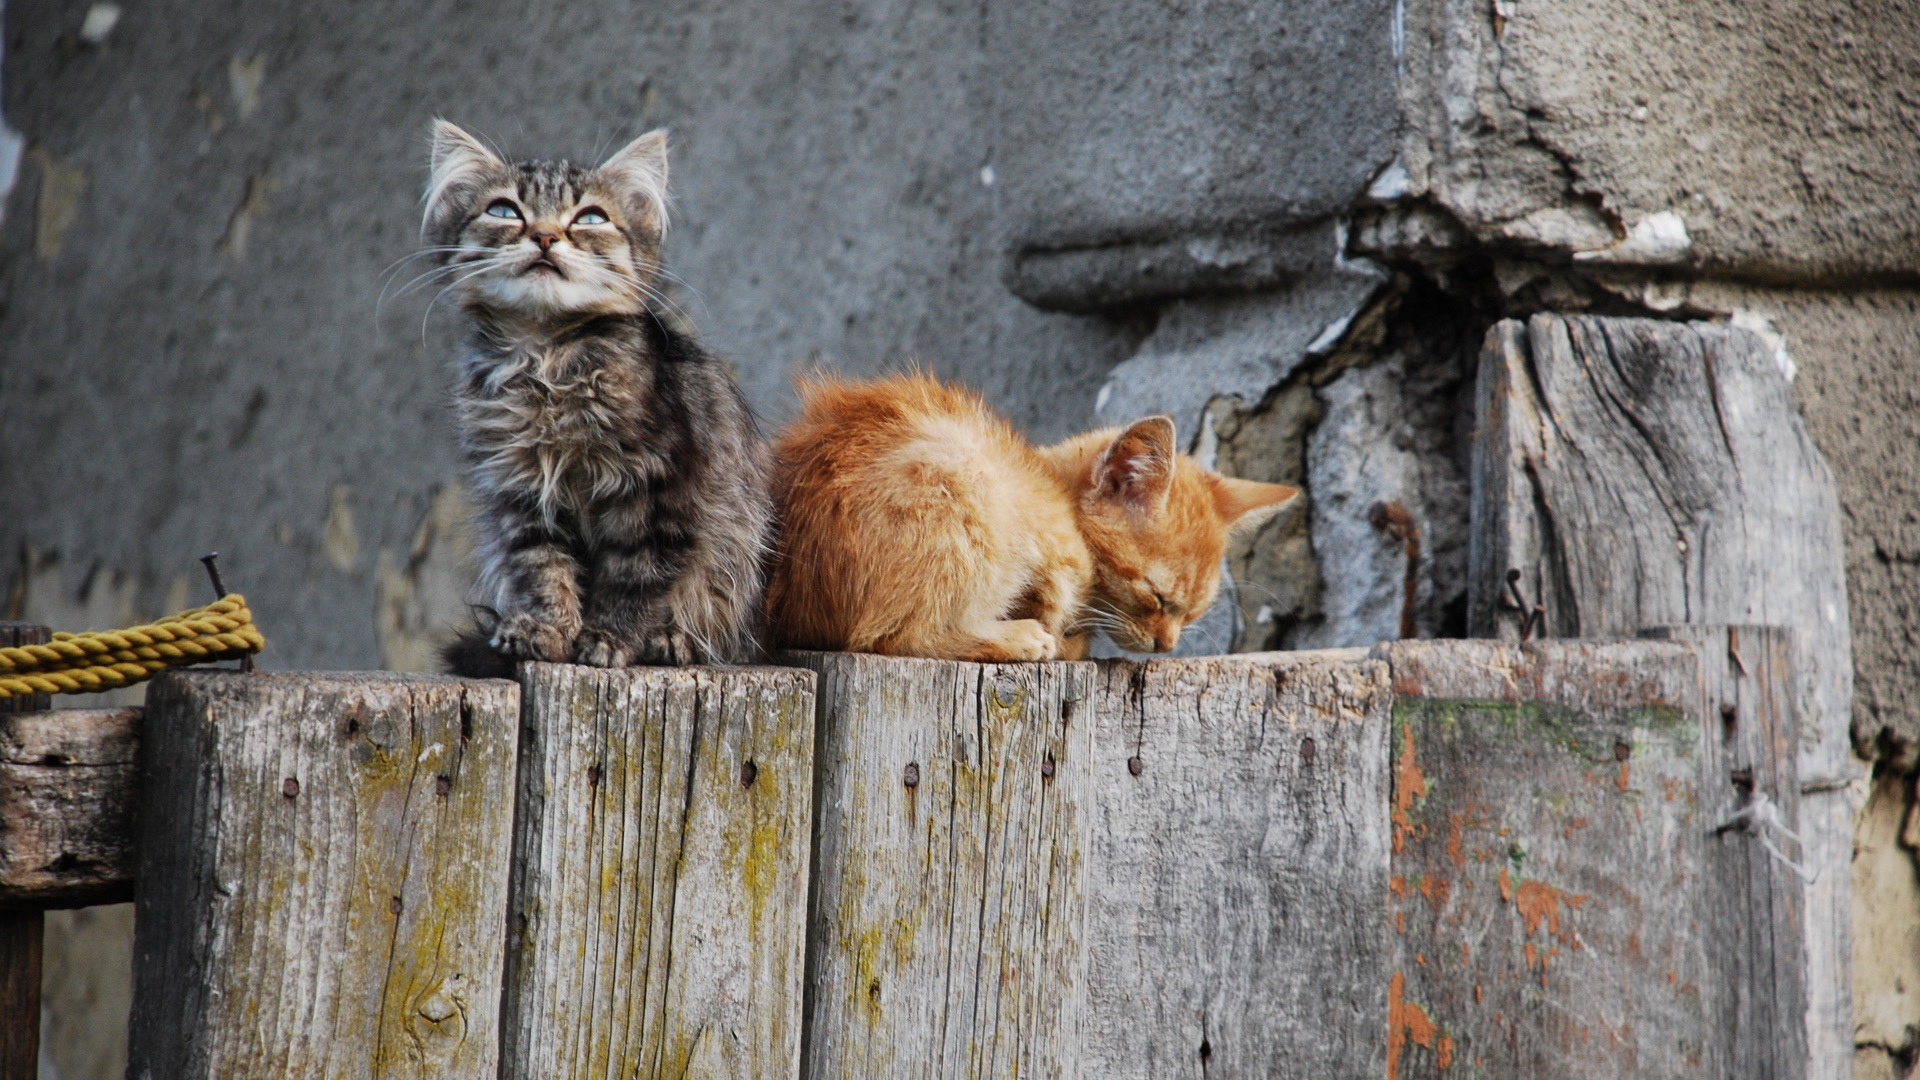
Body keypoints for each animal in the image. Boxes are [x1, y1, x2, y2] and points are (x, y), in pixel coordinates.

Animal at [428, 122, 771, 668]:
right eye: (504, 211)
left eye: (590, 218)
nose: (545, 235)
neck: (546, 356)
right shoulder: (522, 495)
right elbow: (545, 569)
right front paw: (549, 632)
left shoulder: (659, 489)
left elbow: (635, 577)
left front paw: (609, 639)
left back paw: (670, 640)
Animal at [764, 372, 1290, 657]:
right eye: (1156, 598)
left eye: (1194, 612)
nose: (1168, 646)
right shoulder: (1057, 553)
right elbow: (1060, 611)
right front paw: (1062, 635)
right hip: (966, 484)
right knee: (892, 635)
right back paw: (1019, 638)